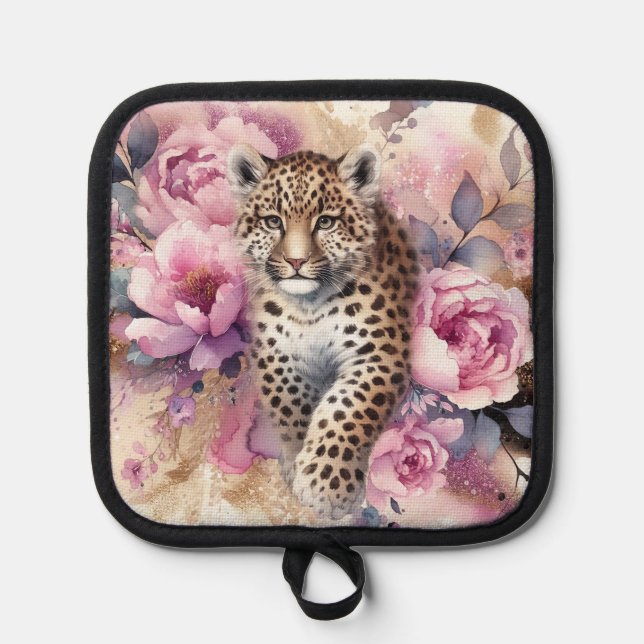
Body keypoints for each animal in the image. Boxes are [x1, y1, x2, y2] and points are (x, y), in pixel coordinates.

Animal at [228, 143, 419, 520]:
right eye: (273, 221)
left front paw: (326, 486)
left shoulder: (379, 353)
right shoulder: (274, 353)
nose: (296, 262)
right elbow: (291, 403)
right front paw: (296, 462)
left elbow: (348, 409)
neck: (309, 307)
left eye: (326, 222)